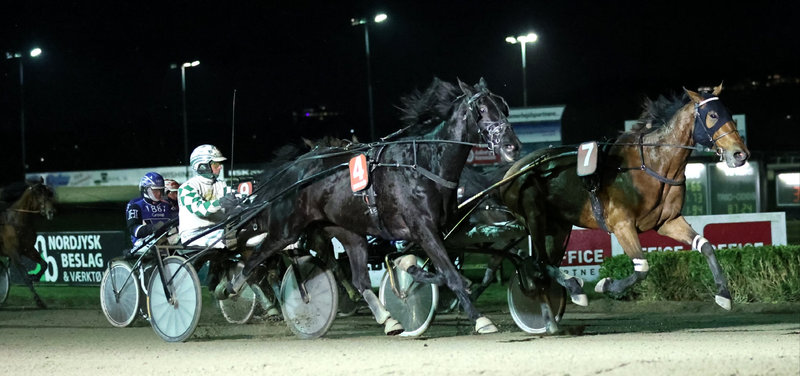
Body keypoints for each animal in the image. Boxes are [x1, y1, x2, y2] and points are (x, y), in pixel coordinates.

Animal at [0, 178, 56, 306]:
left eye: (49, 193)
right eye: (38, 193)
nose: (51, 212)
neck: (16, 222)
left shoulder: (28, 249)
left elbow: (44, 264)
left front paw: (35, 276)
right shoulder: (13, 252)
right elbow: (25, 277)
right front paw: (38, 300)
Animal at [228, 78, 520, 334]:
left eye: (504, 106)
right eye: (482, 109)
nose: (512, 146)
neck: (425, 164)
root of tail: (295, 169)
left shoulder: (443, 231)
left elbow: (445, 270)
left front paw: (408, 266)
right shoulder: (423, 229)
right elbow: (450, 274)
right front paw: (480, 319)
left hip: (349, 233)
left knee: (359, 280)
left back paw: (388, 319)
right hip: (286, 230)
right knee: (254, 259)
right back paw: (233, 286)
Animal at [504, 83, 748, 330]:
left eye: (729, 113)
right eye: (713, 115)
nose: (740, 154)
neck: (652, 164)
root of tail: (514, 170)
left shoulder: (668, 222)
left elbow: (705, 246)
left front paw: (724, 295)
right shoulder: (622, 224)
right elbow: (642, 268)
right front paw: (605, 284)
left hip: (559, 227)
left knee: (544, 263)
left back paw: (555, 314)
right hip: (535, 216)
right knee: (539, 262)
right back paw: (571, 289)